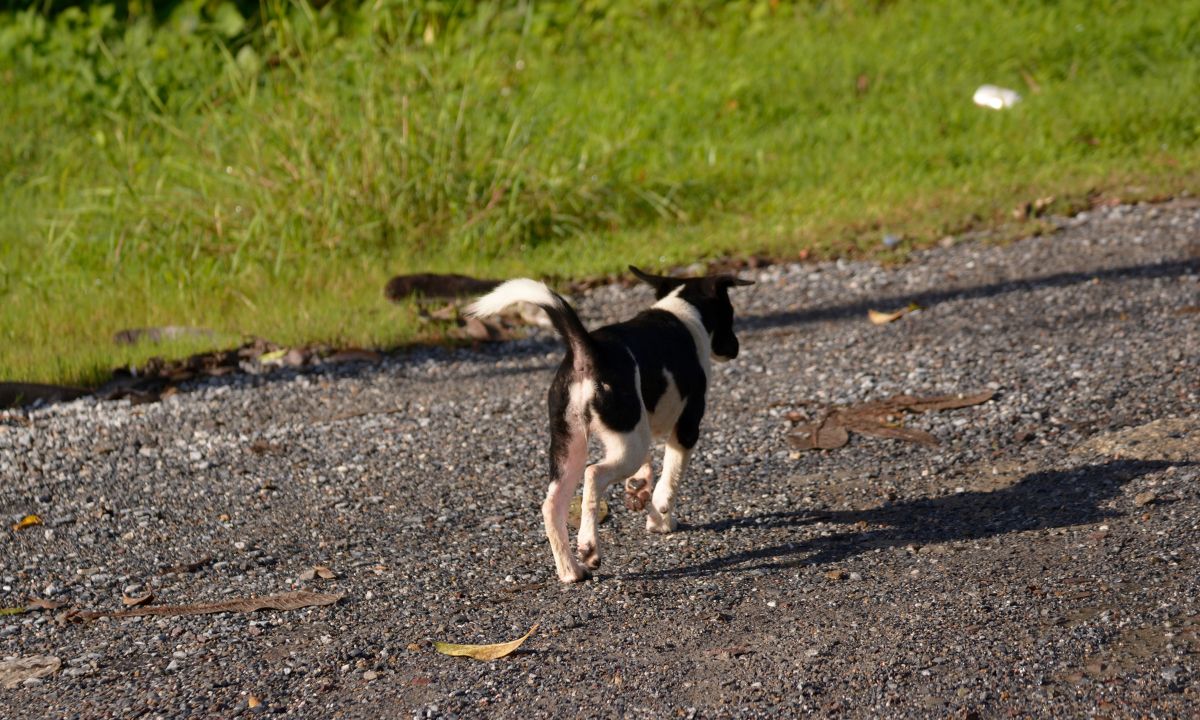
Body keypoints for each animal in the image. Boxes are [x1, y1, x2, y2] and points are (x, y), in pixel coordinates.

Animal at [465, 267, 748, 583]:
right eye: (730, 313)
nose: (735, 349)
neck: (680, 309)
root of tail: (587, 349)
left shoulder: (643, 426)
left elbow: (648, 471)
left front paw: (643, 495)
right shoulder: (686, 427)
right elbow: (671, 476)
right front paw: (662, 517)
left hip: (573, 444)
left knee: (552, 504)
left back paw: (570, 570)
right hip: (624, 443)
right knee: (593, 475)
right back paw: (588, 547)